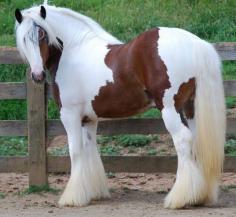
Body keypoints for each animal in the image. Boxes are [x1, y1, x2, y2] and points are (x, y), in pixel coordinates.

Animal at [14, 1, 225, 209]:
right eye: (24, 39)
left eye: (42, 35)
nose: (37, 75)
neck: (73, 51)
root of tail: (196, 44)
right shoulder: (88, 119)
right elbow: (89, 148)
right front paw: (93, 193)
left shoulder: (69, 115)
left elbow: (75, 151)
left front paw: (73, 198)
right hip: (190, 109)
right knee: (195, 143)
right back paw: (200, 196)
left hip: (170, 109)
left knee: (183, 140)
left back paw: (179, 198)